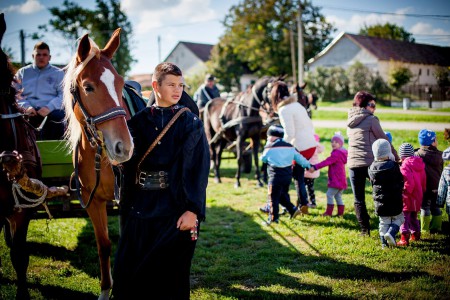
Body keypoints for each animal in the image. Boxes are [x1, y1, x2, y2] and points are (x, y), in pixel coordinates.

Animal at [63, 27, 134, 298]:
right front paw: (105, 289)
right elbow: (104, 244)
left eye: (121, 84)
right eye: (88, 87)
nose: (125, 146)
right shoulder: (92, 201)